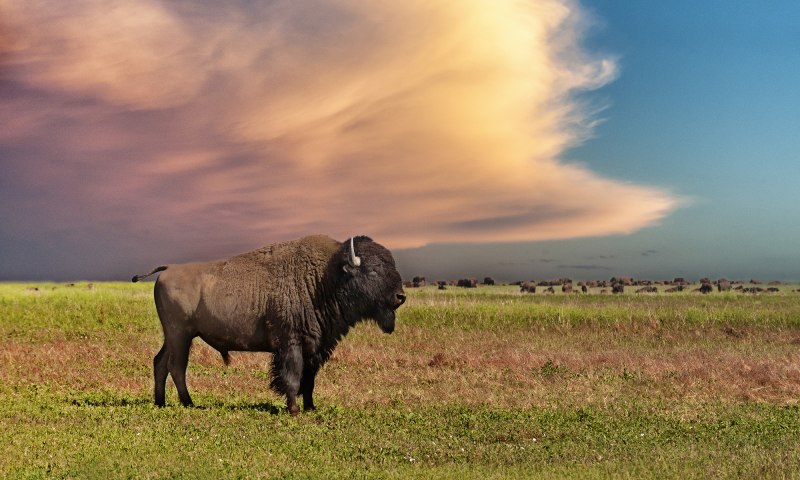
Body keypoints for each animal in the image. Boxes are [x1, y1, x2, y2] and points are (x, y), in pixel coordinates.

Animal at [132, 235, 406, 415]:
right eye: (372, 271)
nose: (400, 296)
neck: (325, 278)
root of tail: (168, 269)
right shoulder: (291, 344)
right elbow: (293, 377)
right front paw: (294, 410)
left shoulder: (314, 348)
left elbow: (309, 380)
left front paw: (311, 408)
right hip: (181, 335)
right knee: (177, 366)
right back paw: (189, 403)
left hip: (173, 336)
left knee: (160, 362)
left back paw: (161, 402)